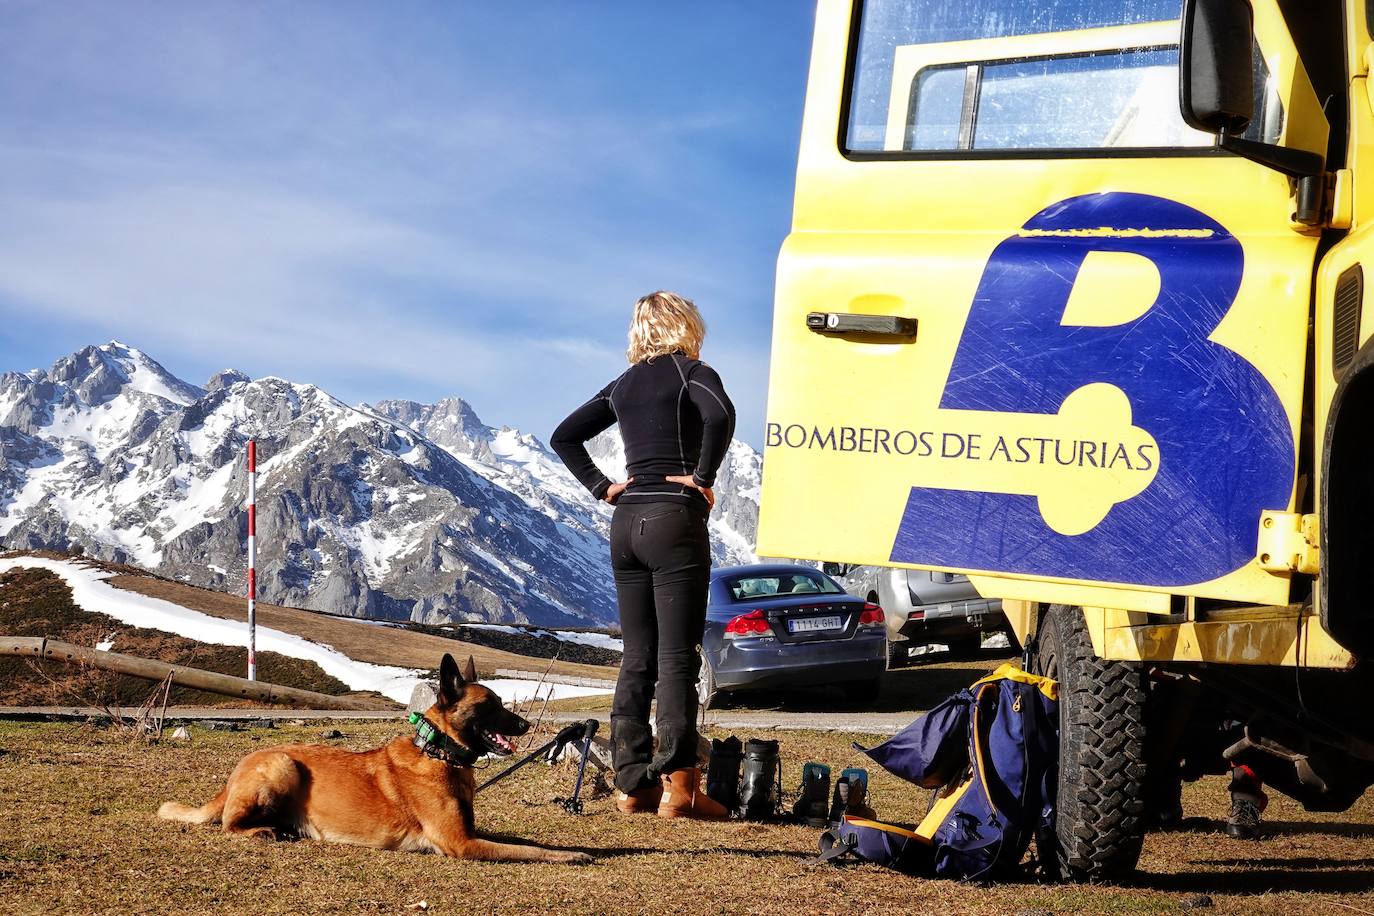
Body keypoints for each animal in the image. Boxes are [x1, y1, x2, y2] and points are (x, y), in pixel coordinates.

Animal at [159, 656, 590, 862]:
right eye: (491, 705)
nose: (525, 723)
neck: (438, 752)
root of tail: (232, 778)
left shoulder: (468, 834)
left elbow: (522, 842)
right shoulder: (461, 843)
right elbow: (533, 851)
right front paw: (574, 855)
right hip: (282, 764)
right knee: (228, 825)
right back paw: (265, 832)